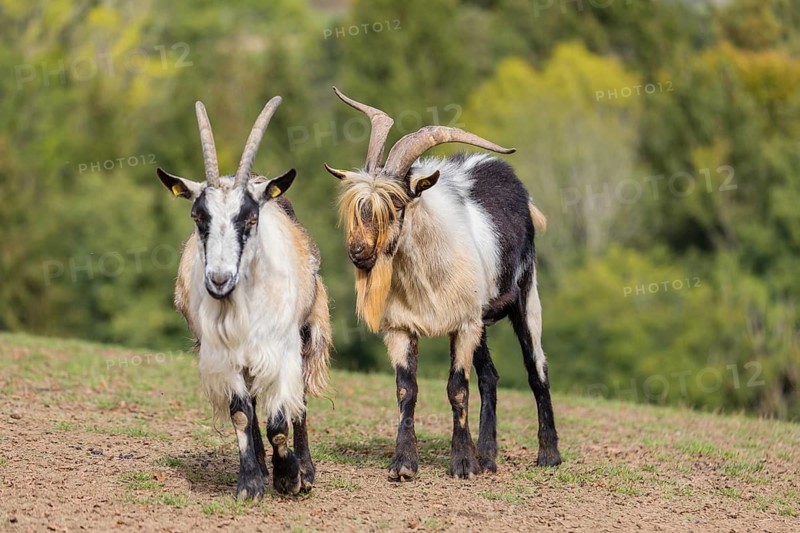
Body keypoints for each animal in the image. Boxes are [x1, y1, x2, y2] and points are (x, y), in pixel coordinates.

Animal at [156, 97, 331, 498]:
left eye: (250, 219)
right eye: (197, 216)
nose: (219, 280)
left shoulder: (281, 348)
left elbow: (281, 420)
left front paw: (291, 476)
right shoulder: (222, 354)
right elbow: (240, 413)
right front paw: (251, 482)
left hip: (307, 332)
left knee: (299, 402)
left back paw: (305, 469)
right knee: (251, 403)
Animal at [324, 87, 561, 480]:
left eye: (397, 205)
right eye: (360, 206)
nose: (358, 252)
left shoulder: (463, 325)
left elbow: (457, 388)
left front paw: (462, 464)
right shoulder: (402, 328)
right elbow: (406, 390)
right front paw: (403, 464)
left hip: (526, 297)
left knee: (536, 368)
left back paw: (548, 455)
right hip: (481, 317)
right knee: (490, 377)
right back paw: (488, 457)